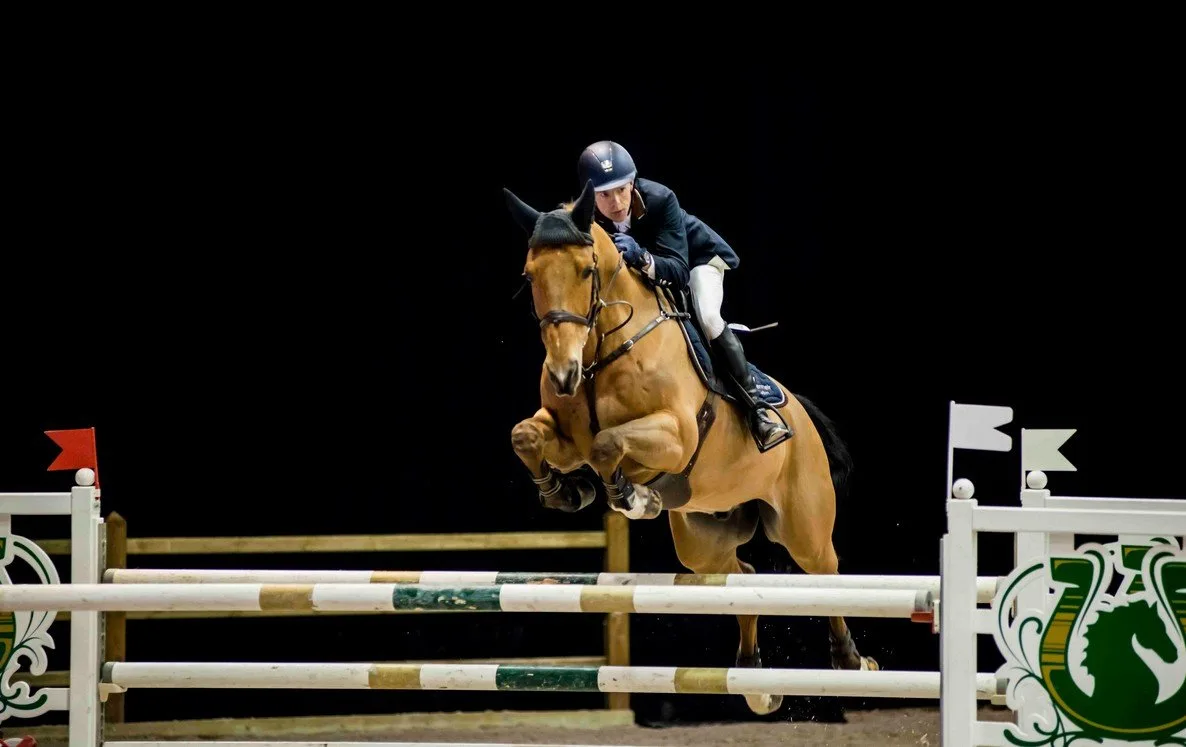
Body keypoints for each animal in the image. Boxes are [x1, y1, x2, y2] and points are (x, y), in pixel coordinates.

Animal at [503, 180, 877, 715]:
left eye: (586, 270)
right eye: (529, 275)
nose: (563, 374)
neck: (599, 352)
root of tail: (801, 416)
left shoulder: (675, 435)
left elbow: (608, 444)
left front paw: (631, 497)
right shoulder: (568, 438)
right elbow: (528, 435)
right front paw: (565, 491)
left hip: (802, 527)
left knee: (826, 573)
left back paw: (850, 662)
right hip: (702, 539)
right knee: (739, 575)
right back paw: (756, 682)